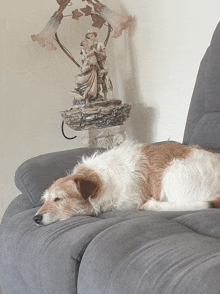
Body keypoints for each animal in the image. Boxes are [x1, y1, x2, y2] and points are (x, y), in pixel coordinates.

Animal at [33, 140, 220, 225]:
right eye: (45, 200)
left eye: (58, 199)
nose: (35, 218)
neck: (102, 179)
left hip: (172, 173)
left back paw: (151, 205)